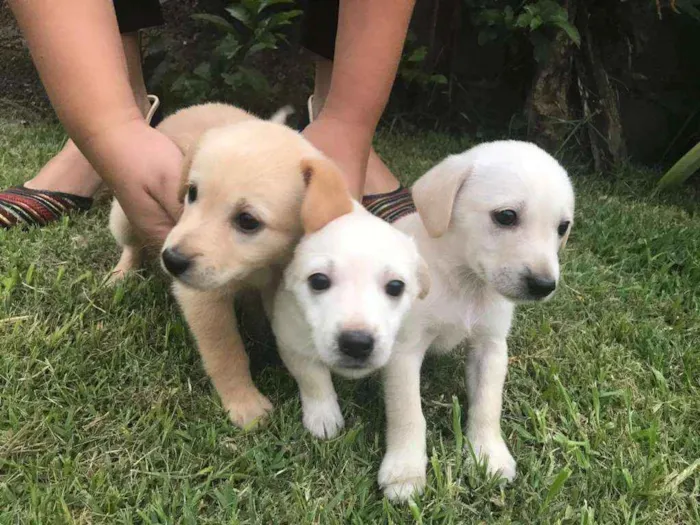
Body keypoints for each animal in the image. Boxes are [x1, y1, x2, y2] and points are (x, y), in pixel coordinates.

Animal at [110, 101, 352, 426]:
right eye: (192, 192)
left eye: (247, 221)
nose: (171, 260)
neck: (262, 267)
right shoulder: (203, 298)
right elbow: (226, 352)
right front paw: (244, 403)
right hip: (123, 215)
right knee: (131, 245)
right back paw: (120, 275)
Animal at [270, 203, 430, 440]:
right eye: (318, 280)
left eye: (395, 286)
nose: (356, 344)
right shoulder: (290, 338)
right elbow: (312, 378)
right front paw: (323, 416)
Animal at [378, 139, 576, 500]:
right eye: (506, 216)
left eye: (562, 227)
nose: (544, 285)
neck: (465, 283)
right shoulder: (404, 352)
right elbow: (408, 412)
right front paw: (405, 470)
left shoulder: (491, 346)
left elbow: (487, 405)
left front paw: (488, 455)